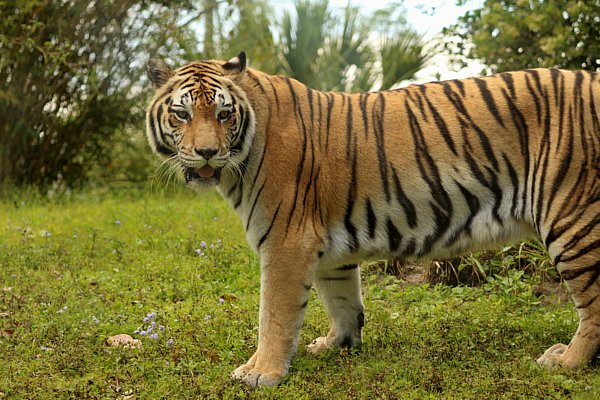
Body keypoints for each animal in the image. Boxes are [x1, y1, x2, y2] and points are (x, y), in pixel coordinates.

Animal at [146, 51, 600, 386]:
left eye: (224, 114)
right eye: (182, 115)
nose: (207, 153)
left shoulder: (286, 240)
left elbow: (273, 314)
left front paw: (261, 372)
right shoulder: (326, 246)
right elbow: (342, 300)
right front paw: (336, 344)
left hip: (573, 217)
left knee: (593, 305)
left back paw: (566, 361)